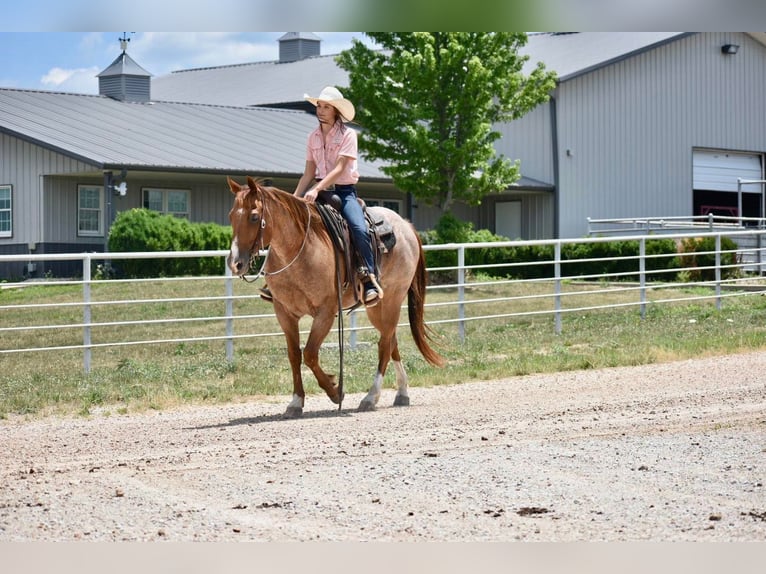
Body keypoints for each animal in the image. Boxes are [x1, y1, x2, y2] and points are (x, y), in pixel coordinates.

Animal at [226, 177, 444, 418]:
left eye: (254, 217)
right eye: (231, 216)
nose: (235, 263)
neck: (299, 249)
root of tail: (406, 226)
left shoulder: (325, 313)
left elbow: (310, 354)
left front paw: (335, 391)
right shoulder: (284, 312)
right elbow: (294, 355)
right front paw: (296, 401)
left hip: (392, 300)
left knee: (384, 345)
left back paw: (370, 397)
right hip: (378, 307)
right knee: (391, 341)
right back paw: (402, 393)